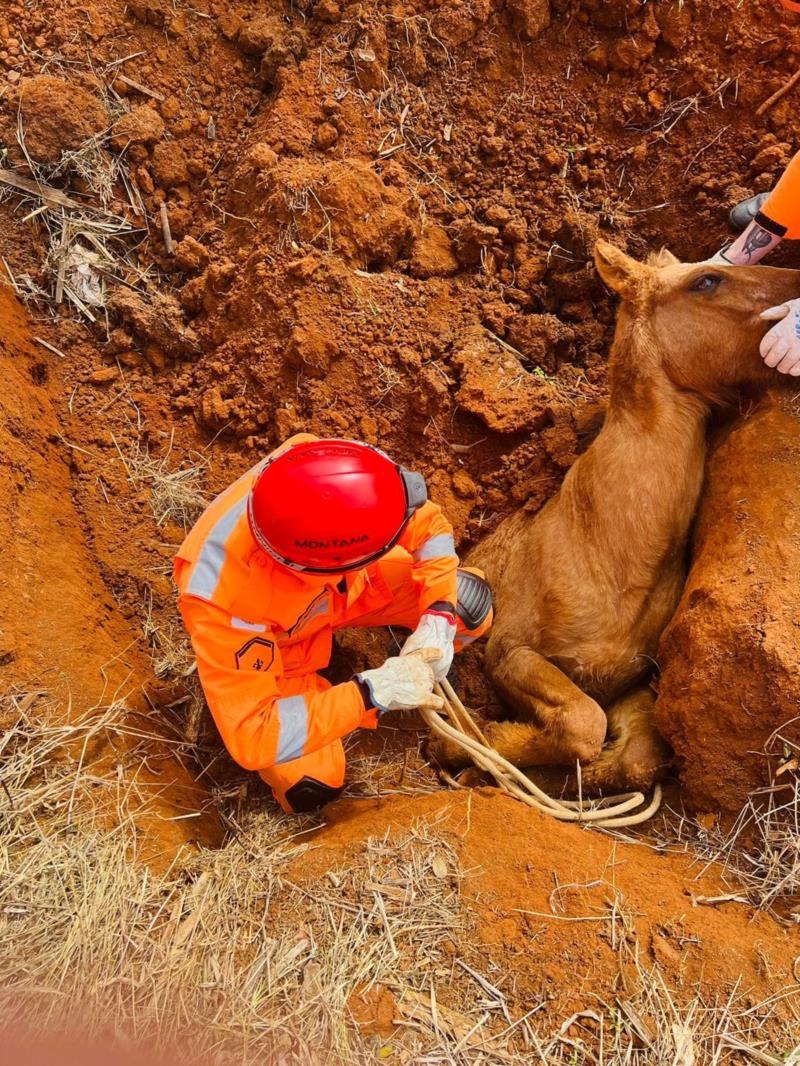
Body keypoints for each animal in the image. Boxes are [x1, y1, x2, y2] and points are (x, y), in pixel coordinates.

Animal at [435, 241, 800, 793]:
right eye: (706, 280)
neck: (610, 549)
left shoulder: (636, 679)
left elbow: (636, 757)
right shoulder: (510, 651)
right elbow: (584, 722)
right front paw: (469, 743)